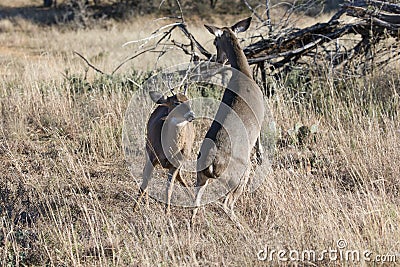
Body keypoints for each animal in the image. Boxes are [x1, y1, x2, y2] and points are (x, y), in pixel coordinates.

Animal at [191, 17, 264, 229]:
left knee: (195, 202)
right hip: (240, 175)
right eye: (216, 42)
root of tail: (212, 165)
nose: (218, 59)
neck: (245, 75)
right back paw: (244, 228)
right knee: (226, 204)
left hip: (200, 177)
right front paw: (262, 157)